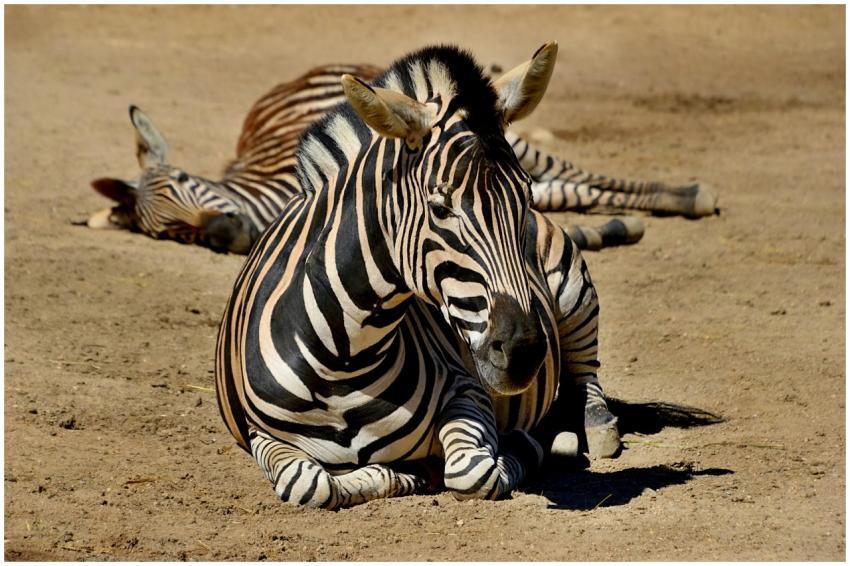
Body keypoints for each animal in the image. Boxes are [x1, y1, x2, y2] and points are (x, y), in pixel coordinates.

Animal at [215, 42, 621, 509]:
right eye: (440, 208)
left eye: (525, 196)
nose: (523, 351)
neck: (345, 359)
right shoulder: (261, 433)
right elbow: (310, 484)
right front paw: (401, 475)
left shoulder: (469, 393)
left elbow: (473, 471)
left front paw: (522, 447)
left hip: (574, 291)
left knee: (587, 375)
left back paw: (593, 426)